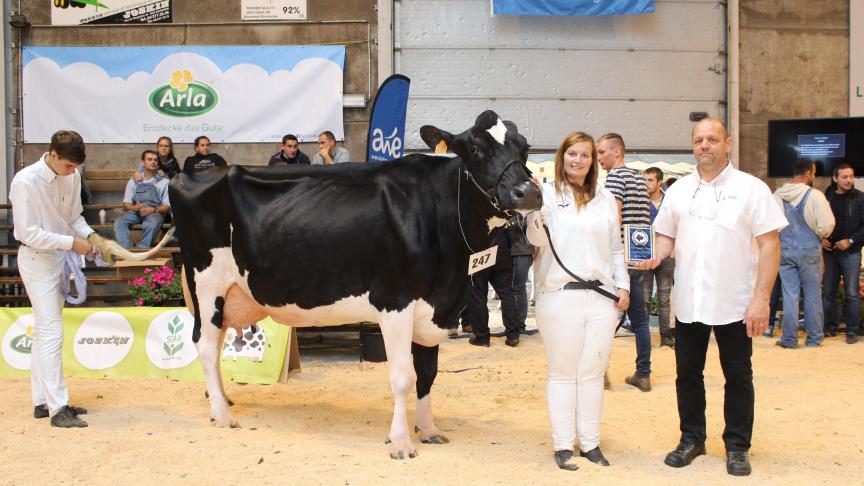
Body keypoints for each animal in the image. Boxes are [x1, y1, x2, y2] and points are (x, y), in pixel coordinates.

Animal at [170, 110, 540, 460]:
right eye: (476, 150)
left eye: (525, 148)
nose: (529, 193)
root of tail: (187, 175)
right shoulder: (396, 302)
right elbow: (403, 377)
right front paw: (401, 442)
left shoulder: (433, 309)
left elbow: (428, 374)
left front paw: (429, 429)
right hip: (207, 284)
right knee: (205, 345)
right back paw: (222, 416)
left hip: (229, 294)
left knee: (216, 342)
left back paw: (223, 400)